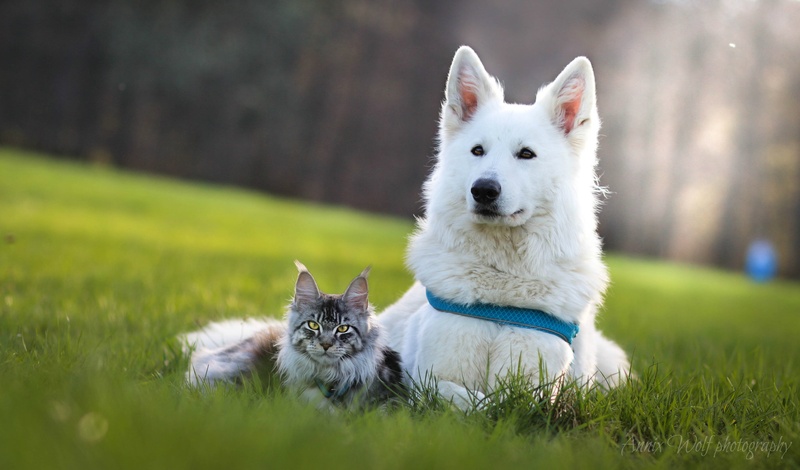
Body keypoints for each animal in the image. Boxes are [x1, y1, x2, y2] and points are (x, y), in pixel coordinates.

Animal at [376, 46, 630, 408]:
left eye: (526, 154)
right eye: (477, 151)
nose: (483, 190)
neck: (502, 289)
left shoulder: (539, 386)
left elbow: (505, 403)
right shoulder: (427, 379)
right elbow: (472, 399)